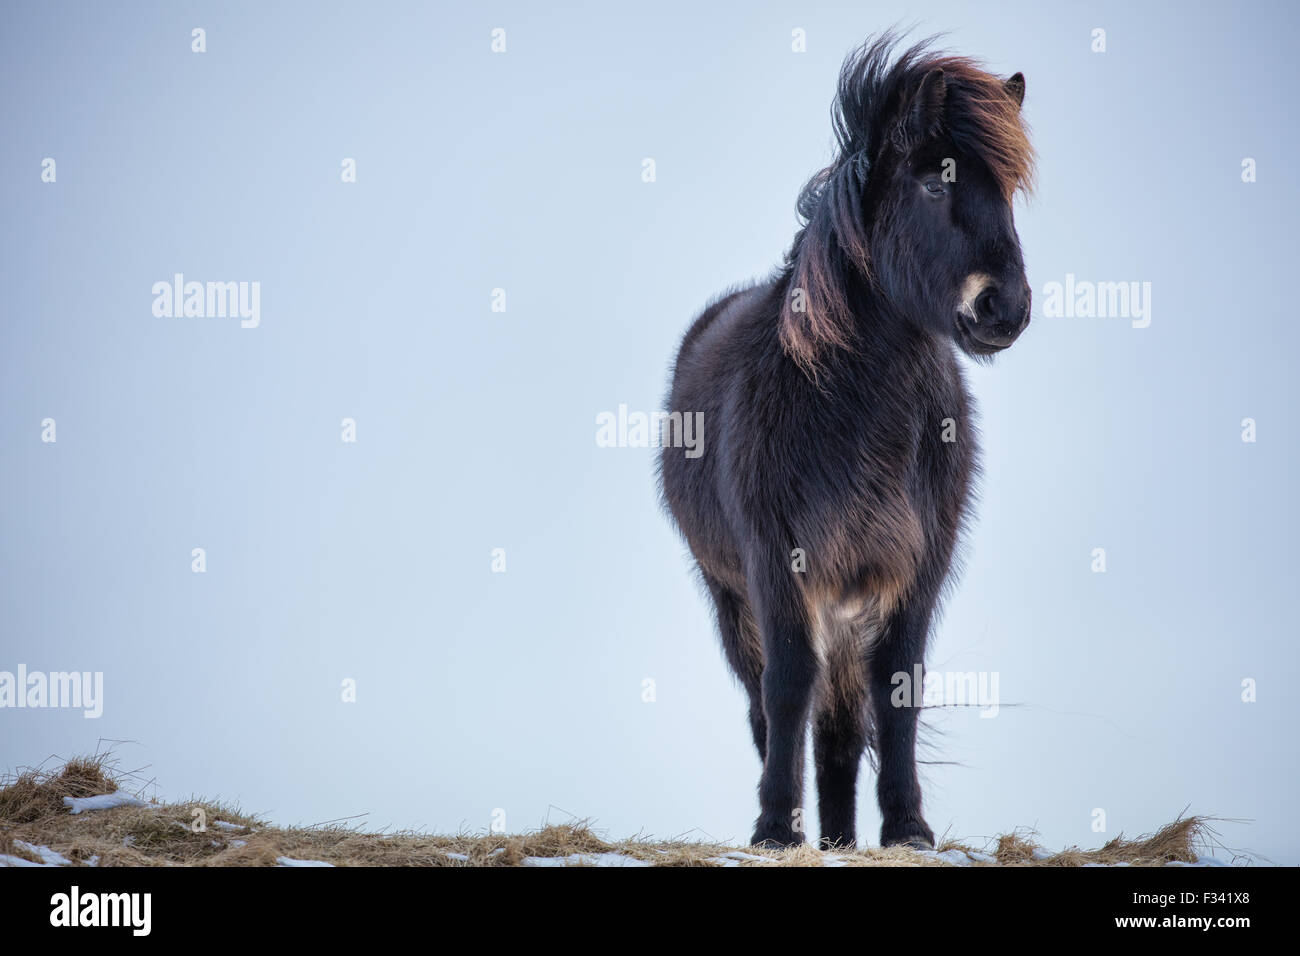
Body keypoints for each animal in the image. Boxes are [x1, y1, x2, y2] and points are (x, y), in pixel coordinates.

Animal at [657, 33, 1036, 849]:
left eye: (1008, 189)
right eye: (931, 184)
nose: (1005, 307)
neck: (857, 413)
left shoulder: (917, 567)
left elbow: (896, 688)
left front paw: (908, 828)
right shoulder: (778, 564)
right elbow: (786, 688)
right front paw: (774, 827)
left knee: (835, 728)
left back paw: (837, 839)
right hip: (734, 598)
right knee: (770, 707)